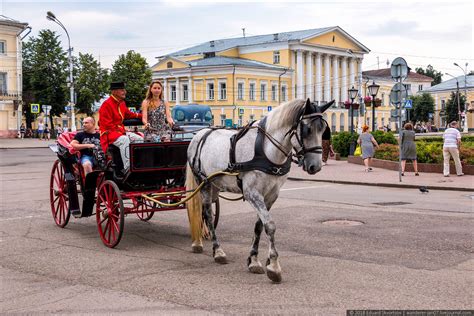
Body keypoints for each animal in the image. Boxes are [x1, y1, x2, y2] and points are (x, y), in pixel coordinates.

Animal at [186, 98, 334, 282]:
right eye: (307, 130)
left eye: (323, 130)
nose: (316, 166)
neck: (266, 150)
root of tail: (200, 134)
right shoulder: (253, 194)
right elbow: (270, 225)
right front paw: (274, 266)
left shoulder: (270, 195)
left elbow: (259, 226)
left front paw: (254, 260)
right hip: (203, 183)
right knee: (207, 214)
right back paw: (217, 250)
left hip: (214, 186)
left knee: (204, 213)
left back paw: (201, 242)